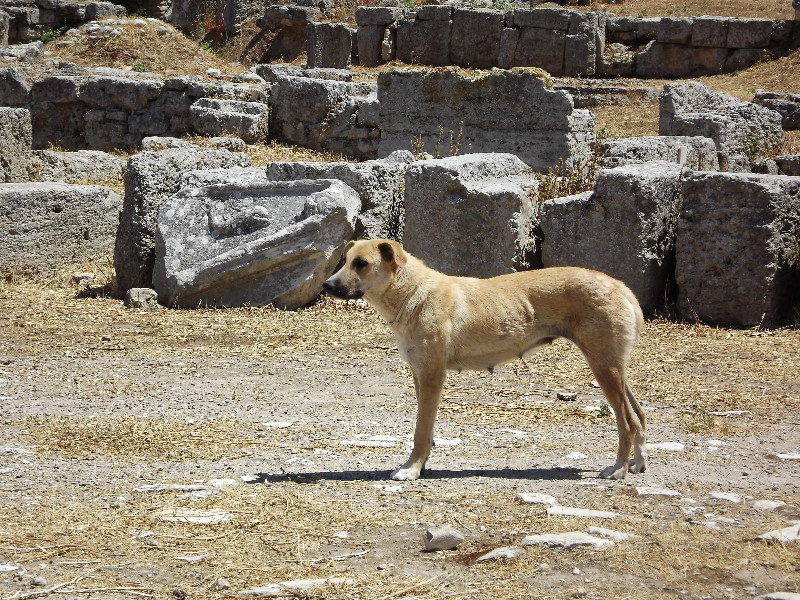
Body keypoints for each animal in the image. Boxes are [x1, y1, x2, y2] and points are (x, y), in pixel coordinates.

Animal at [322, 241, 648, 480]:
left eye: (361, 263)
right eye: (345, 259)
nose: (326, 285)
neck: (413, 292)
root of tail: (619, 285)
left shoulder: (431, 376)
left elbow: (420, 432)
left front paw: (411, 470)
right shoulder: (419, 375)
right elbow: (428, 431)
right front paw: (422, 465)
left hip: (604, 367)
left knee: (628, 422)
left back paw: (618, 469)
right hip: (614, 368)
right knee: (641, 416)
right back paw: (637, 463)